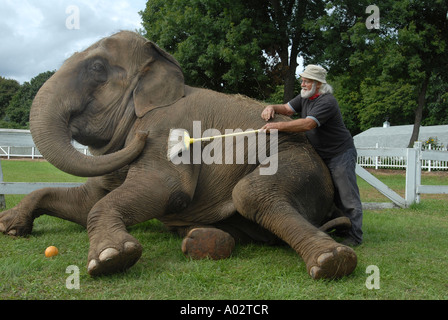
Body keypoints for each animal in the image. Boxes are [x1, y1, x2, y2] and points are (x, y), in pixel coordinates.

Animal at [0, 30, 356, 280]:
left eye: (98, 67)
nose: (140, 137)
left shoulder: (166, 127)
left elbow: (166, 190)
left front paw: (111, 259)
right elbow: (86, 201)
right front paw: (9, 226)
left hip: (299, 162)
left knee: (251, 193)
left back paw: (332, 261)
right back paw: (202, 242)